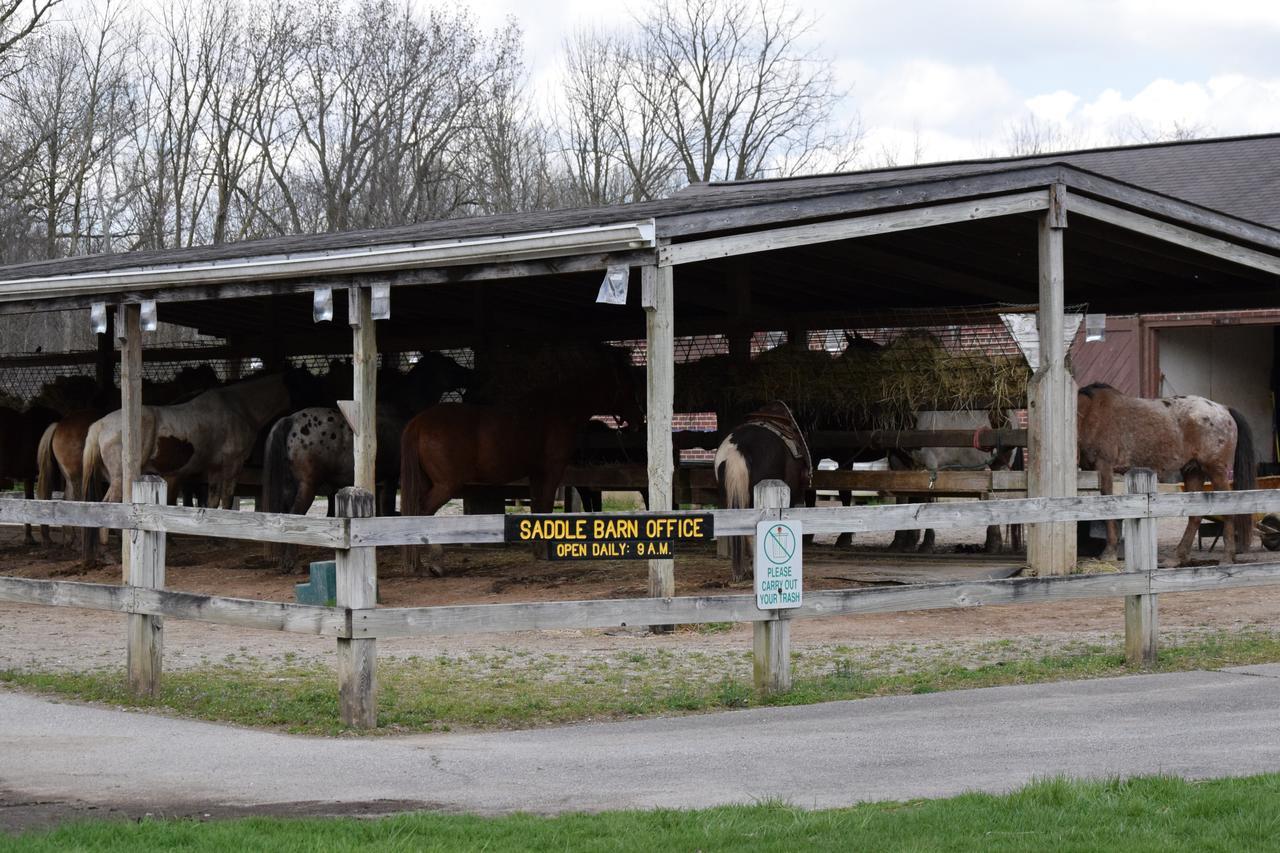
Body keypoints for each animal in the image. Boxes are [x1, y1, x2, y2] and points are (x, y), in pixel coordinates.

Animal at [82, 366, 325, 512]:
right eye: (307, 384)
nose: (325, 406)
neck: (239, 407)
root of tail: (99, 425)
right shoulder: (232, 465)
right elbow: (227, 499)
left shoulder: (214, 468)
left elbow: (213, 500)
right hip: (119, 479)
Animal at [396, 343, 640, 573]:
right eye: (628, 383)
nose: (639, 418)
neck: (556, 410)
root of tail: (419, 422)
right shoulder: (551, 471)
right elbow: (544, 507)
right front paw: (543, 551)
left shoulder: (536, 474)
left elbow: (537, 507)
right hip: (446, 485)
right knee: (422, 513)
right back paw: (434, 562)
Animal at [1075, 381, 1254, 560]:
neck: (1090, 412)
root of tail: (1223, 409)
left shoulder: (1104, 465)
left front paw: (1110, 550)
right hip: (1193, 471)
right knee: (1195, 516)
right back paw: (1178, 557)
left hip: (1217, 471)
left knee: (1227, 509)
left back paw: (1227, 556)